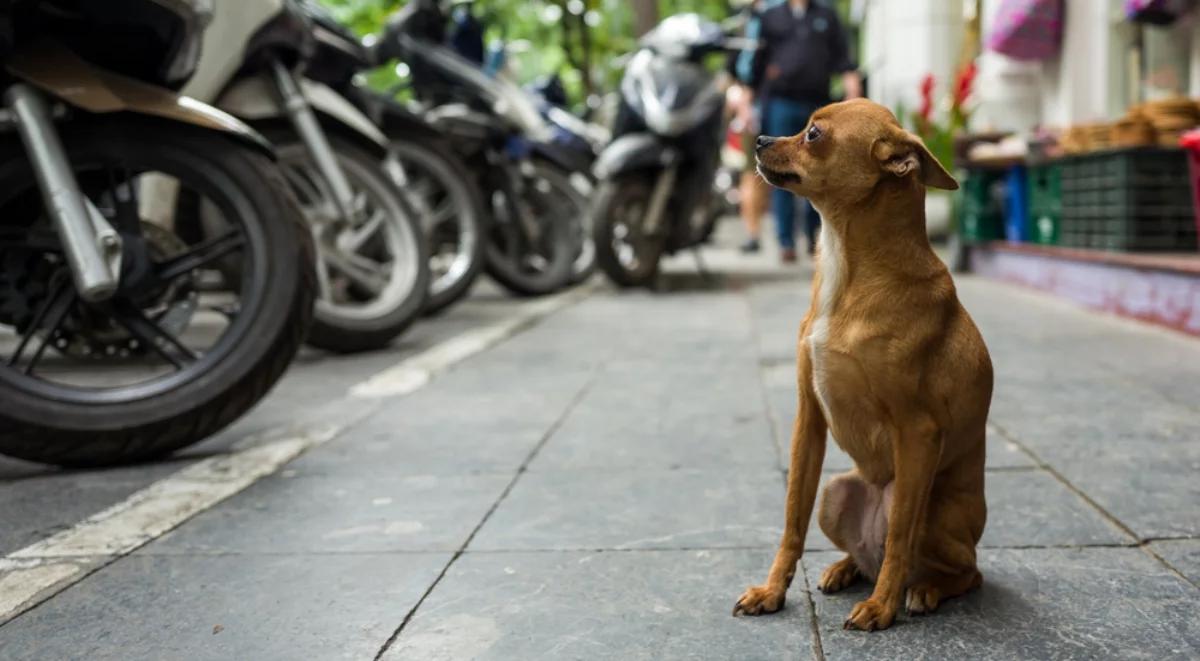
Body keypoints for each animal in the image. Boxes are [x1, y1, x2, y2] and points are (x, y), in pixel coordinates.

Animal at [729, 98, 993, 633]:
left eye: (813, 134)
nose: (761, 138)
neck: (847, 271)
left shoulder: (919, 432)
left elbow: (899, 539)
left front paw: (882, 607)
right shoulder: (808, 420)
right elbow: (792, 520)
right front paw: (772, 591)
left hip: (934, 511)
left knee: (954, 567)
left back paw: (923, 590)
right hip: (837, 491)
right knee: (870, 553)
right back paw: (846, 567)